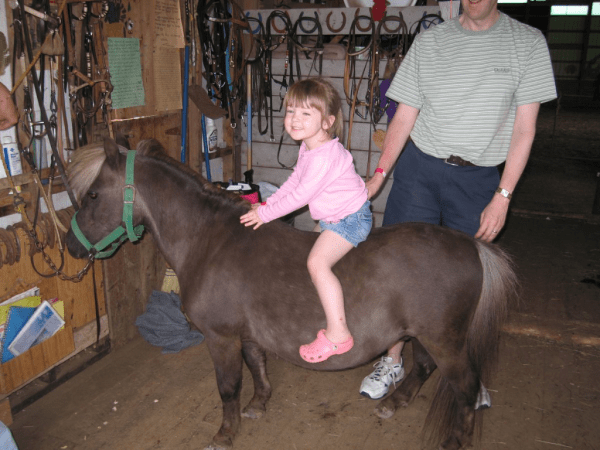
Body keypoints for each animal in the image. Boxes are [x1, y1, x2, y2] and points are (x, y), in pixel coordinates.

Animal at [64, 137, 516, 450]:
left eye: (92, 195)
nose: (70, 246)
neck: (209, 240)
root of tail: (472, 245)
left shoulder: (220, 338)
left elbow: (228, 387)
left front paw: (225, 433)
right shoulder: (245, 335)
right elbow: (256, 366)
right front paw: (259, 404)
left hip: (446, 341)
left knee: (465, 388)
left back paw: (453, 440)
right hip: (428, 336)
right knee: (422, 365)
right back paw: (394, 402)